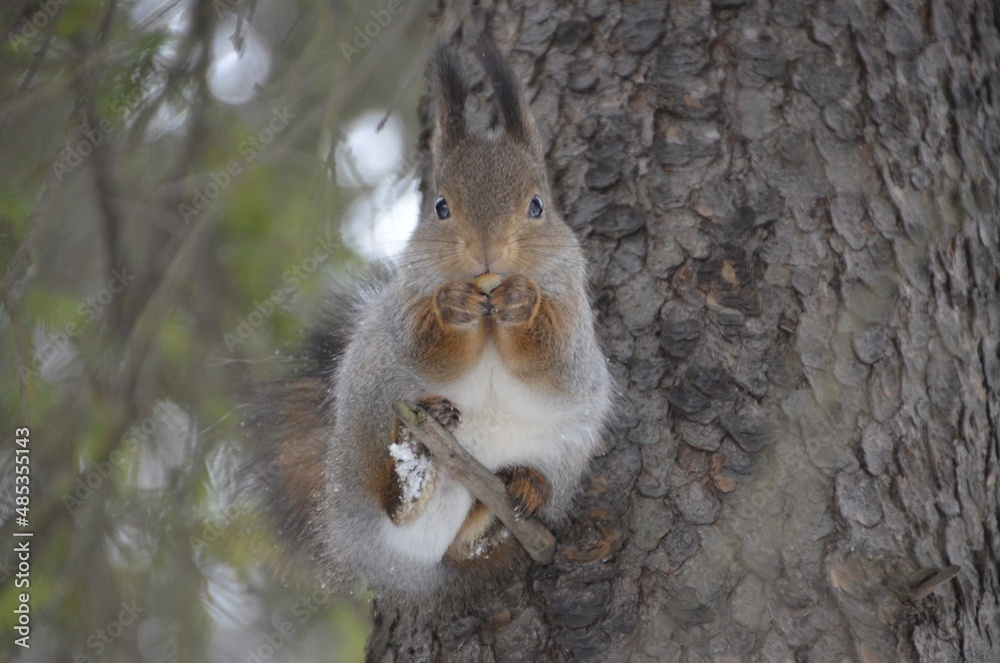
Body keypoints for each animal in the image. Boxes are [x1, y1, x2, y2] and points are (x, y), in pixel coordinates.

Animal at [248, 43, 613, 608]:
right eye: (440, 206)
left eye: (537, 206)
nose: (486, 250)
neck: (488, 315)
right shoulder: (404, 311)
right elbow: (427, 347)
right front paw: (452, 306)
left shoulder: (574, 315)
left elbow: (554, 362)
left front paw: (521, 303)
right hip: (368, 442)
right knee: (399, 515)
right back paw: (414, 469)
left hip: (556, 453)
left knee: (463, 545)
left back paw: (517, 492)